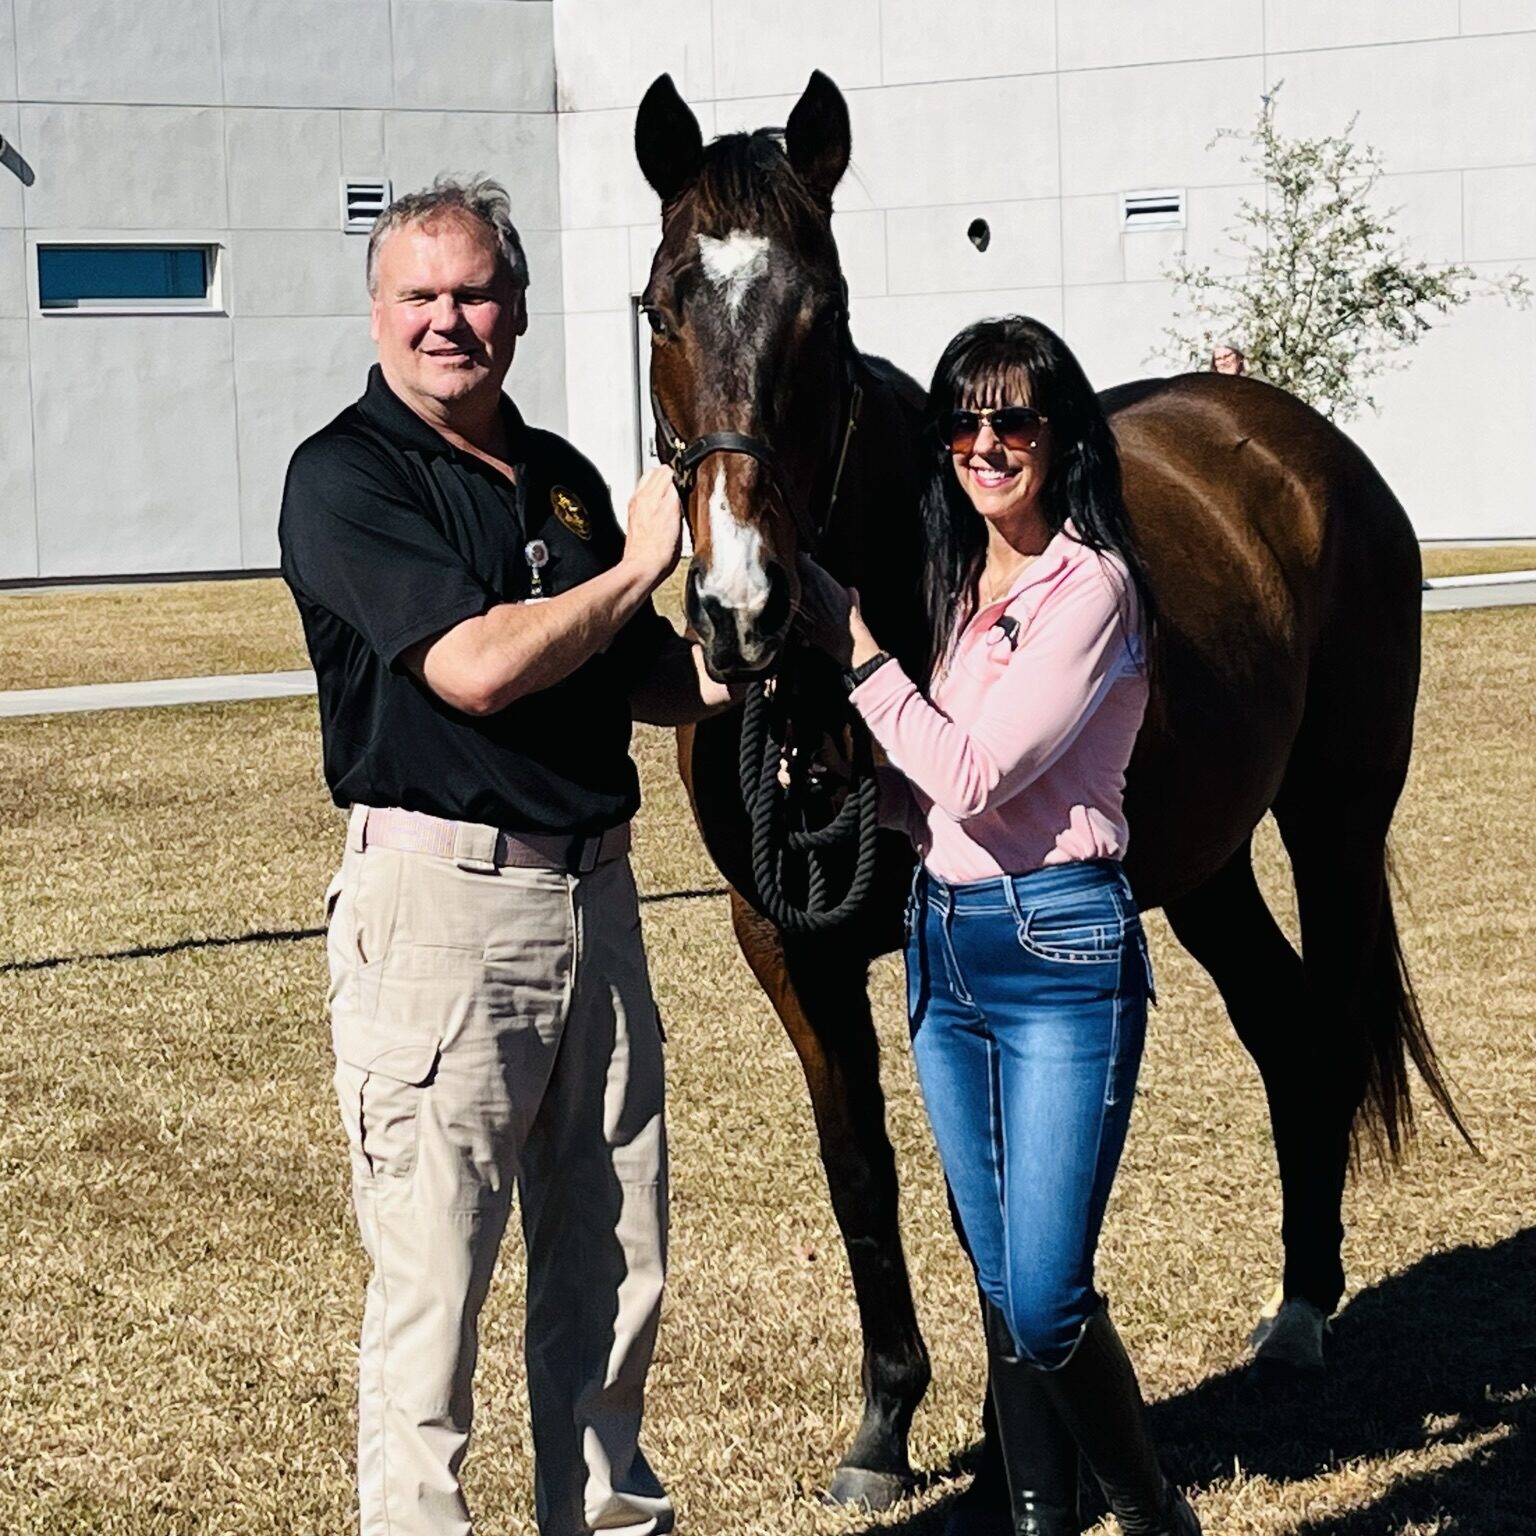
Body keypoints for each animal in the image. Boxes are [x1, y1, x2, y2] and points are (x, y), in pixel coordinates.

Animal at [632, 72, 1462, 1511]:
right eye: (662, 306)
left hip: (1336, 821)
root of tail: (1297, 445)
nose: (742, 608)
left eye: (822, 314)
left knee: (1324, 1016)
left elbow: (996, 1212)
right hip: (1203, 864)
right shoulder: (788, 945)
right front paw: (884, 1428)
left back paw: (1308, 1308)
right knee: (1280, 1023)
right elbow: (865, 1174)